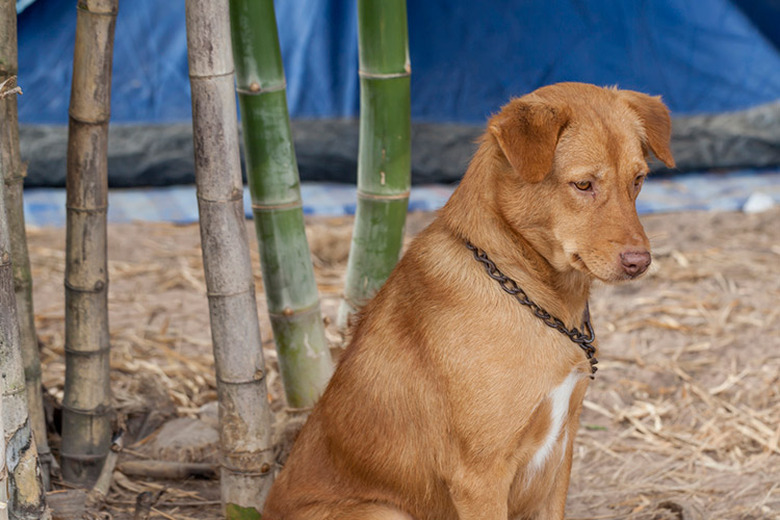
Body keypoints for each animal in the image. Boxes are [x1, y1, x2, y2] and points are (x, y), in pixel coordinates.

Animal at [264, 83, 676, 516]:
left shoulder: (562, 451)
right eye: (583, 185)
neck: (534, 293)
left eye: (638, 180)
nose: (640, 262)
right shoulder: (480, 477)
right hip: (385, 510)